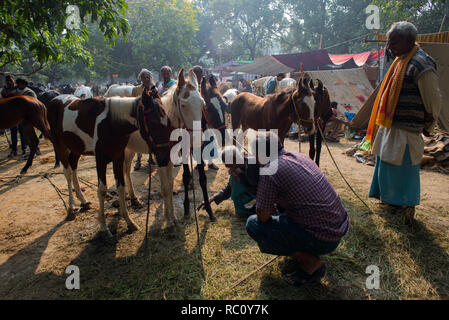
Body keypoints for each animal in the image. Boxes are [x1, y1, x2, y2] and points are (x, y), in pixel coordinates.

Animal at [46, 88, 171, 238]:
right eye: (153, 122)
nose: (165, 158)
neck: (112, 124)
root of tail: (55, 99)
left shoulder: (118, 157)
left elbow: (121, 187)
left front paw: (129, 221)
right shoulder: (100, 160)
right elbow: (102, 190)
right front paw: (104, 228)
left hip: (77, 147)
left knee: (74, 167)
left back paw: (83, 200)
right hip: (59, 145)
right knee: (68, 172)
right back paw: (71, 208)